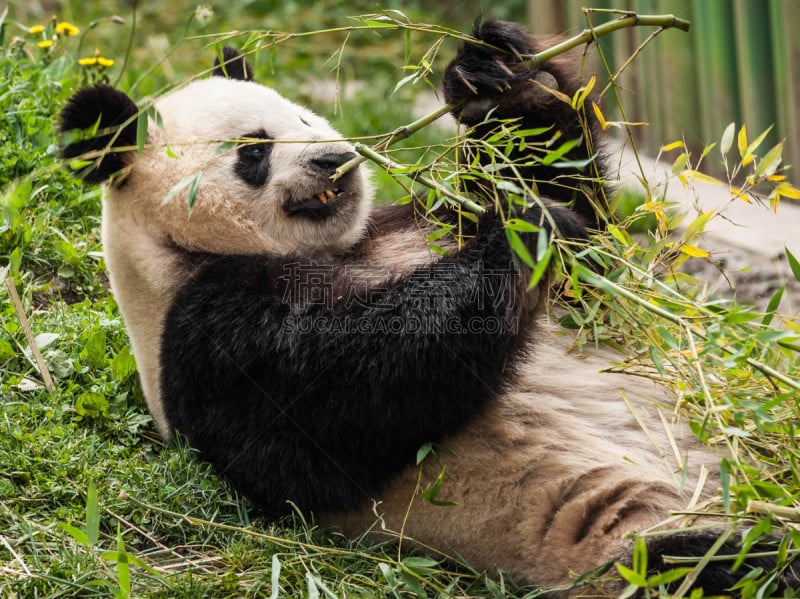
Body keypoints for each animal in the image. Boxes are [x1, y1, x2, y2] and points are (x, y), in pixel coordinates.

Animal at [59, 18, 796, 596]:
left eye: (306, 116)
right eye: (255, 151)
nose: (334, 160)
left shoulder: (420, 222)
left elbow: (569, 216)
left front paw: (494, 73)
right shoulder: (204, 334)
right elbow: (343, 399)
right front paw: (525, 234)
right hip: (630, 540)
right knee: (724, 566)